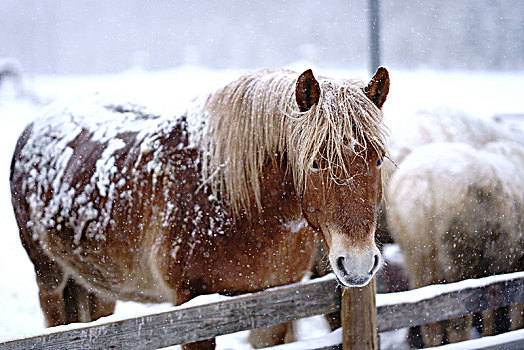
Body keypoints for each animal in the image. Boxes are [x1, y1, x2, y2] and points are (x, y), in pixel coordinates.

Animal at [10, 67, 390, 348]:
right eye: (314, 163)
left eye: (377, 159)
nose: (357, 263)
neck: (231, 201)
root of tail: (36, 124)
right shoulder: (191, 309)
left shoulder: (274, 306)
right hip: (49, 276)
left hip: (96, 285)